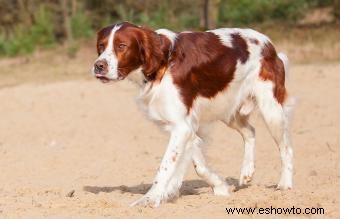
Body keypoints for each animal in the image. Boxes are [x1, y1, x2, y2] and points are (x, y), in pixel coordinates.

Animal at [91, 21, 294, 207]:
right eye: (101, 46)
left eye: (121, 46)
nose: (98, 66)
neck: (163, 63)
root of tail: (270, 46)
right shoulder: (185, 126)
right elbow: (199, 165)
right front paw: (220, 187)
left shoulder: (181, 127)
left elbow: (165, 167)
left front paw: (149, 199)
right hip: (230, 111)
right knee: (250, 131)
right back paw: (246, 172)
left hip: (271, 110)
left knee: (286, 148)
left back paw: (285, 185)